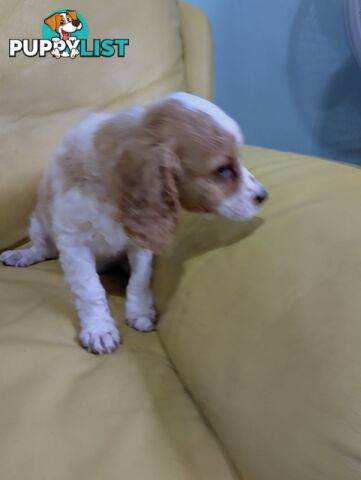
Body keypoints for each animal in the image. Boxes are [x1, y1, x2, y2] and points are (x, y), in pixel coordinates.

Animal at [0, 94, 268, 354]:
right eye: (223, 170)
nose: (264, 196)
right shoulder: (73, 241)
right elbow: (90, 289)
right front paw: (99, 330)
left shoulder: (140, 242)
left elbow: (140, 278)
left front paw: (139, 311)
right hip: (39, 225)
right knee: (43, 250)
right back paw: (22, 255)